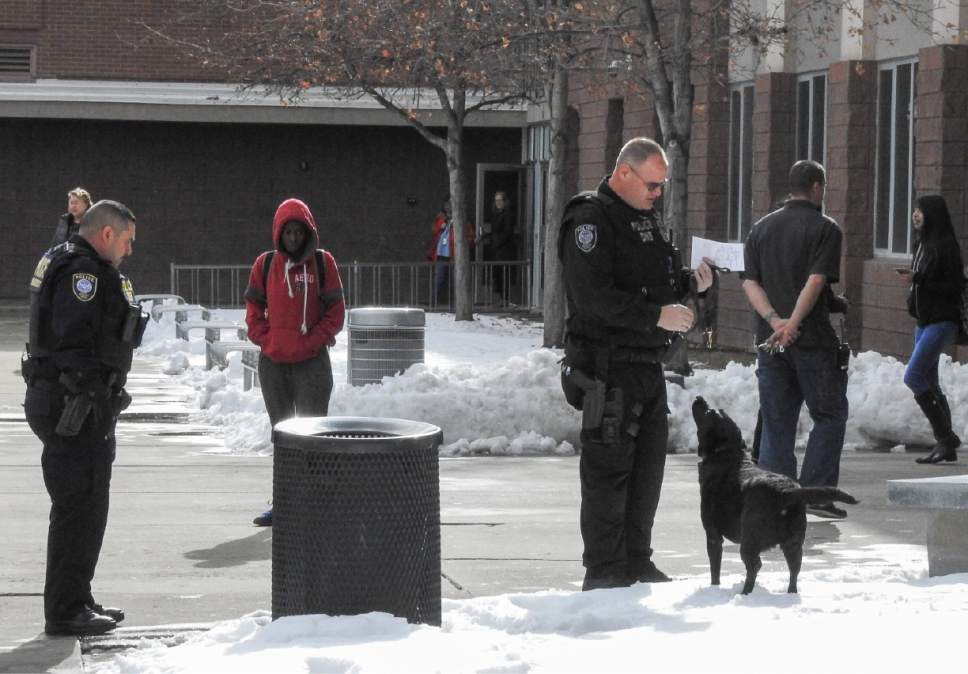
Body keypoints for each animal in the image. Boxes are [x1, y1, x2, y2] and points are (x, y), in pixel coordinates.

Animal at [692, 396, 860, 592]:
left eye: (708, 412)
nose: (699, 398)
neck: (727, 453)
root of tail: (785, 491)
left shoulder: (712, 535)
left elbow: (715, 571)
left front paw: (714, 587)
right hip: (794, 543)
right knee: (794, 569)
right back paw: (790, 593)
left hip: (749, 540)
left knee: (754, 565)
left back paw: (745, 593)